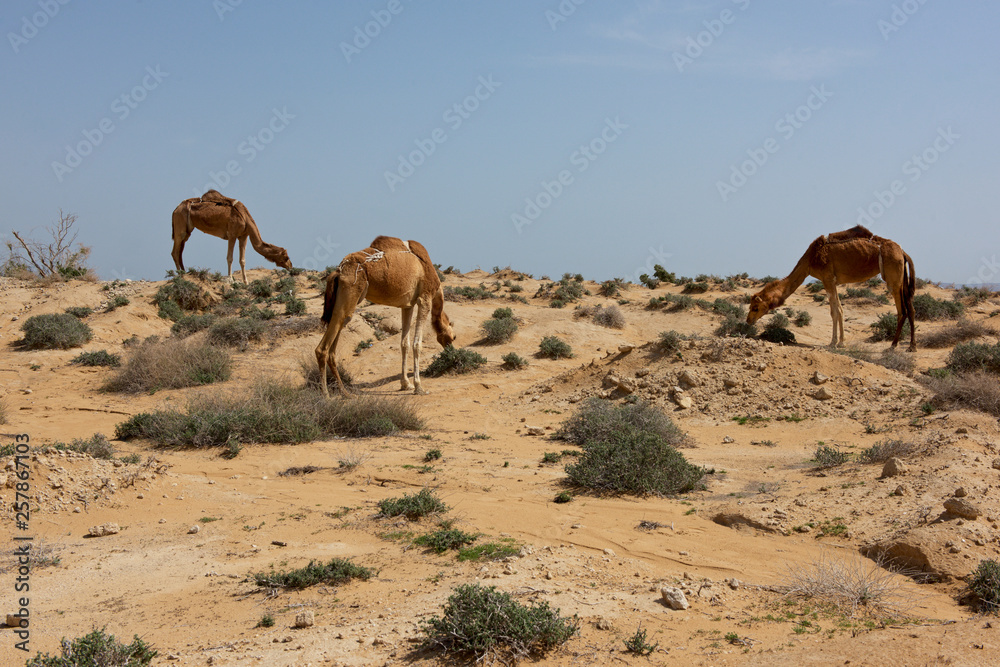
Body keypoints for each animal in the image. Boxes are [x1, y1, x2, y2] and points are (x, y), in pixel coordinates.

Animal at [315, 236, 455, 396]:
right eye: (453, 337)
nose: (452, 351)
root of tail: (337, 272)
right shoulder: (424, 298)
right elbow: (417, 344)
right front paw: (419, 387)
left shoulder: (408, 305)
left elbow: (404, 344)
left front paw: (406, 384)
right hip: (351, 290)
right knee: (323, 348)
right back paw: (326, 395)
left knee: (335, 341)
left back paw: (345, 392)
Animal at [747, 225, 916, 351]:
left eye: (755, 307)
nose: (748, 320)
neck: (810, 260)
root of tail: (903, 252)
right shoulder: (832, 281)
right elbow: (840, 310)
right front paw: (840, 341)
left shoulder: (827, 279)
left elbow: (835, 311)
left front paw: (835, 343)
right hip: (901, 278)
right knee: (911, 308)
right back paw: (911, 347)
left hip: (893, 278)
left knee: (902, 310)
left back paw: (893, 345)